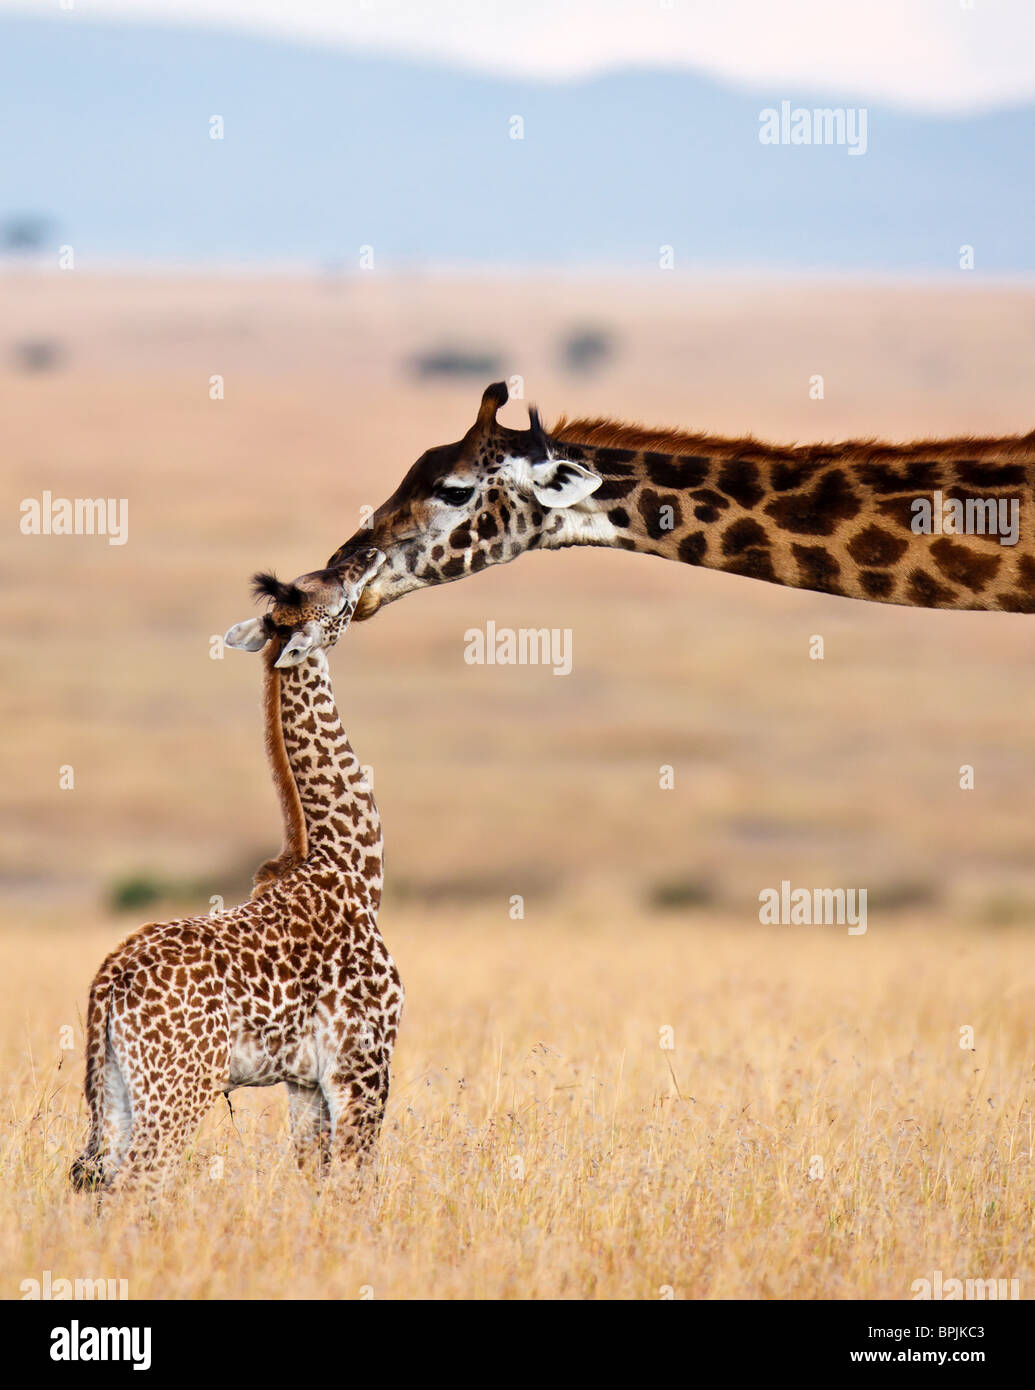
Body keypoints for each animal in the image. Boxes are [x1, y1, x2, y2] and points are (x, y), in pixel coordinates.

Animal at [70, 547, 402, 1189]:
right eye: (333, 586)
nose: (367, 555)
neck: (351, 864)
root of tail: (108, 983)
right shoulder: (363, 1061)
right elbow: (354, 1185)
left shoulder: (304, 1081)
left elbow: (312, 1181)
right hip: (179, 1087)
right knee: (139, 1185)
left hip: (117, 1091)